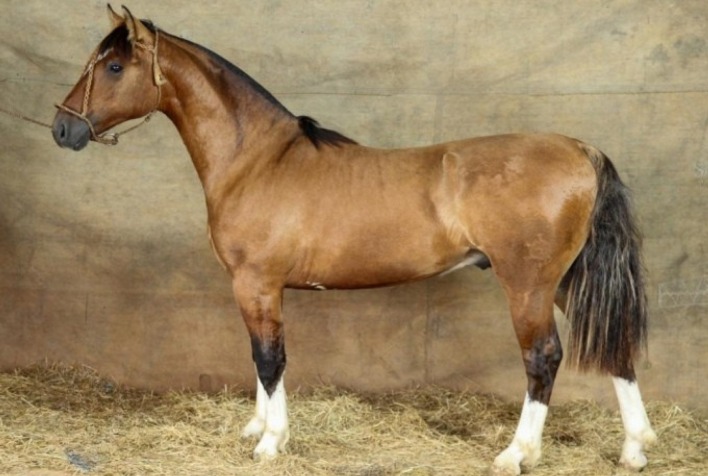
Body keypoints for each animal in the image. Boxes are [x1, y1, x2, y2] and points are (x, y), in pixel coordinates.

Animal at [51, 6, 656, 474]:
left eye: (113, 66)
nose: (63, 128)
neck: (258, 160)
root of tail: (579, 149)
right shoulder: (257, 288)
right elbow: (260, 357)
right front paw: (255, 428)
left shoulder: (256, 283)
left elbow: (269, 358)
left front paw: (271, 442)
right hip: (565, 281)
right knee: (616, 350)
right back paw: (635, 449)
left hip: (527, 286)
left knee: (543, 357)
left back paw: (517, 453)